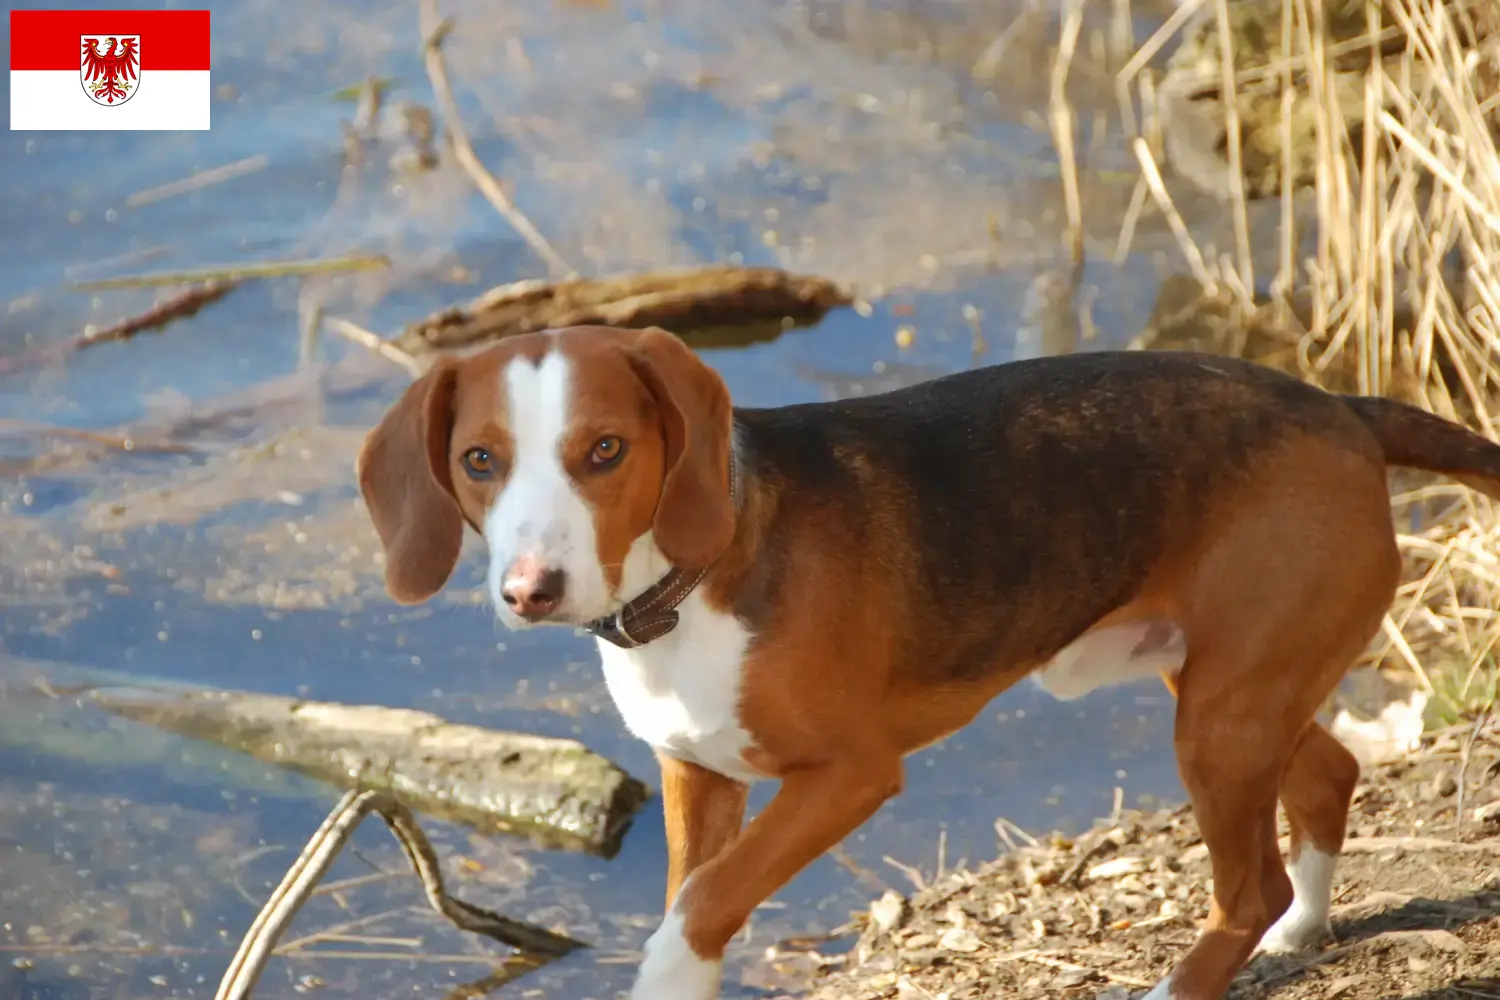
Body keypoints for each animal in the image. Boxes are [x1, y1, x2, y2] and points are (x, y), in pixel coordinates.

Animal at [357, 325, 1500, 995]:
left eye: (605, 451)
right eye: (478, 461)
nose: (531, 591)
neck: (690, 584)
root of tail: (1341, 409)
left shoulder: (850, 777)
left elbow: (702, 906)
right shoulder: (698, 775)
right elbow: (697, 889)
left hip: (1219, 722)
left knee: (1247, 883)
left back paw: (1198, 973)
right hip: (1229, 689)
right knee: (1331, 776)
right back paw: (1303, 930)